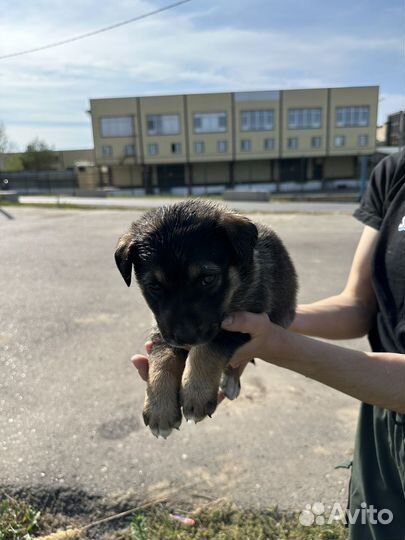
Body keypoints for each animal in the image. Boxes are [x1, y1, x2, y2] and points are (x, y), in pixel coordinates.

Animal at [113, 200, 296, 436]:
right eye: (154, 286)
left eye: (207, 279)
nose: (185, 338)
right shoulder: (161, 329)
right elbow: (161, 359)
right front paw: (159, 409)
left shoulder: (246, 319)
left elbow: (208, 348)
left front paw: (195, 392)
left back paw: (230, 381)